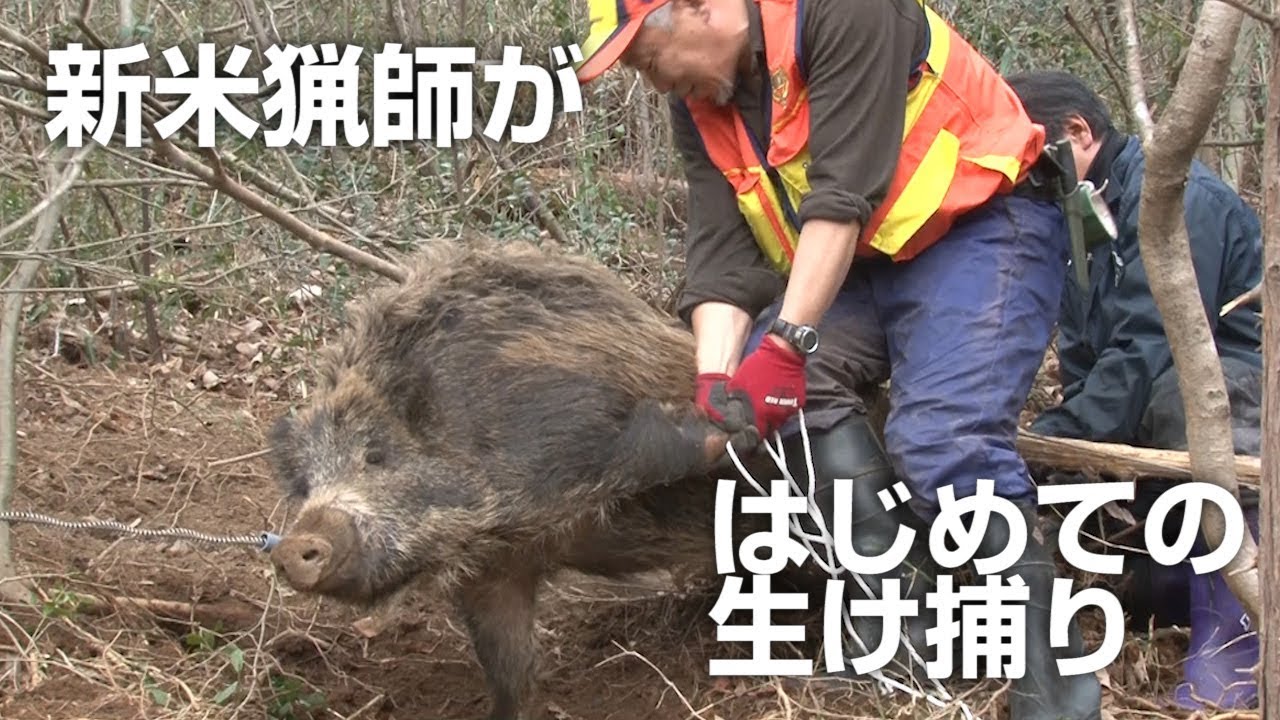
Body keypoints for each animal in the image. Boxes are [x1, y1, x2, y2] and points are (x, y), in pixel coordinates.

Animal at [266, 237, 777, 720]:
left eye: (375, 455)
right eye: (306, 484)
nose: (292, 545)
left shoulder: (573, 431)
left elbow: (642, 451)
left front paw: (729, 425)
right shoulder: (494, 572)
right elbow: (507, 662)